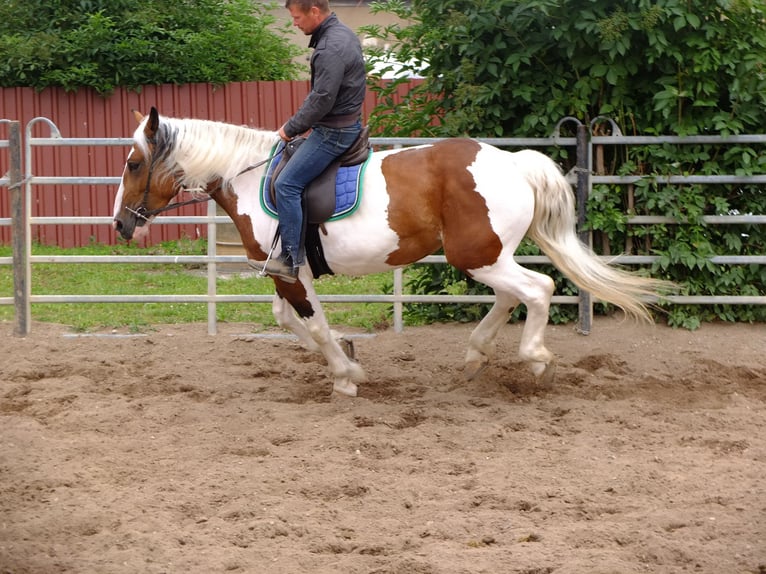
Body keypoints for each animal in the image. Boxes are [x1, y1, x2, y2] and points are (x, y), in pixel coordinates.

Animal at [114, 107, 672, 396]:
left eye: (135, 162)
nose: (120, 225)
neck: (254, 178)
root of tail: (513, 162)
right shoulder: (288, 271)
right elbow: (291, 321)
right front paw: (348, 357)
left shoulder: (287, 271)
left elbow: (313, 324)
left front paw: (347, 376)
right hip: (488, 256)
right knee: (511, 296)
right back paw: (475, 356)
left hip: (478, 256)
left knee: (538, 288)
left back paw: (535, 360)